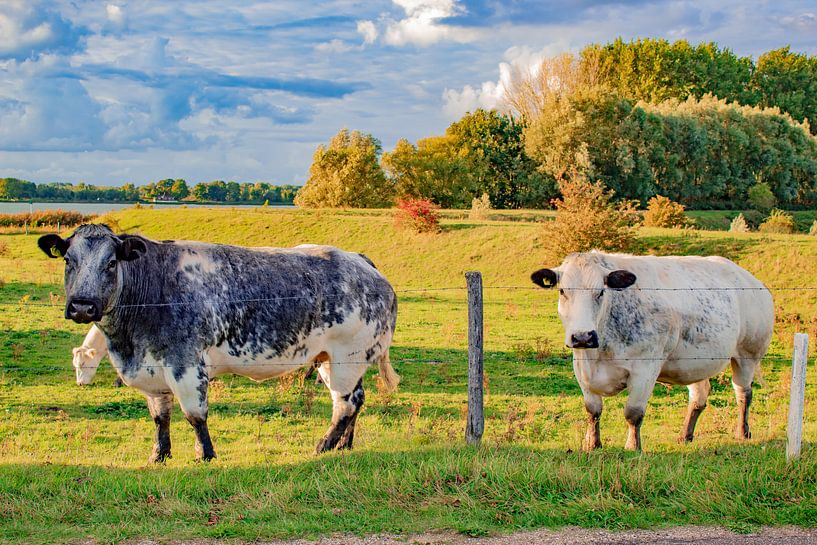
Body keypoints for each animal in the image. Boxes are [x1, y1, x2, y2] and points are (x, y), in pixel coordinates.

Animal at [39, 224, 399, 462]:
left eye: (111, 263)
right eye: (68, 260)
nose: (82, 306)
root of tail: (361, 260)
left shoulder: (186, 364)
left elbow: (195, 415)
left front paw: (206, 455)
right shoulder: (152, 373)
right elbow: (160, 417)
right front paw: (159, 455)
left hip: (347, 356)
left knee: (345, 403)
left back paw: (324, 446)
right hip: (332, 358)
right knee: (356, 399)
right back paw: (344, 446)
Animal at [530, 251, 773, 451]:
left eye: (600, 292)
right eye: (563, 291)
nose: (583, 336)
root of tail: (751, 279)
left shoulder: (645, 370)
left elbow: (633, 413)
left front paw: (632, 447)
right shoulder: (581, 367)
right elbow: (593, 410)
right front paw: (592, 444)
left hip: (748, 354)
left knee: (743, 394)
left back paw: (742, 432)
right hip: (695, 362)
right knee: (699, 396)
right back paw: (685, 435)